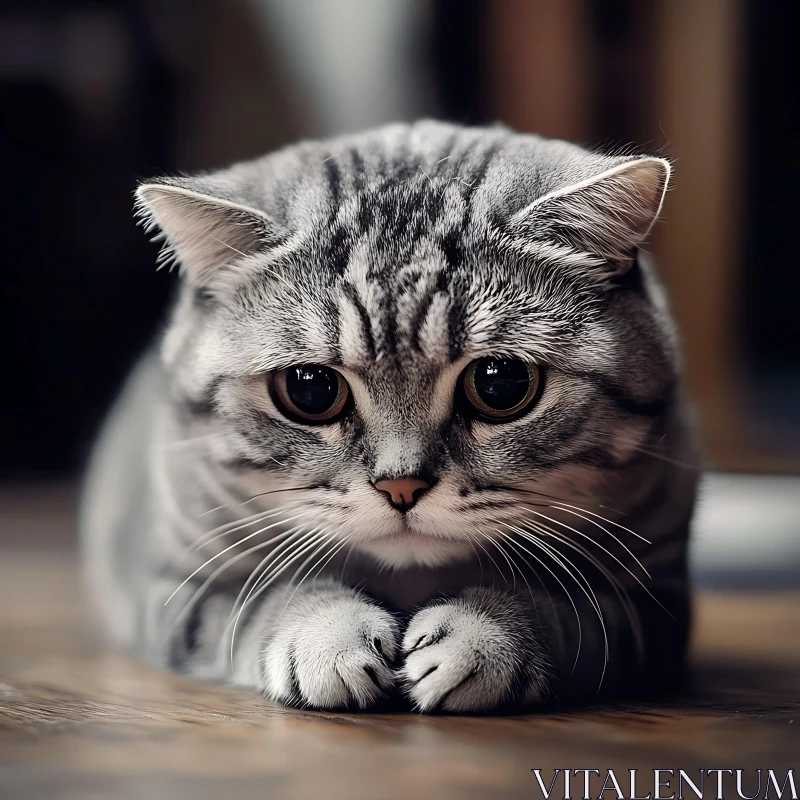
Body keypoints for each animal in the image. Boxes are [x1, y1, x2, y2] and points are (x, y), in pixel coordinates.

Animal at [78, 120, 696, 712]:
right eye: (309, 390)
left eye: (500, 384)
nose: (402, 486)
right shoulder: (176, 583)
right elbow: (261, 602)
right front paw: (326, 633)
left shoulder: (652, 600)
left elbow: (568, 614)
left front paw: (487, 635)